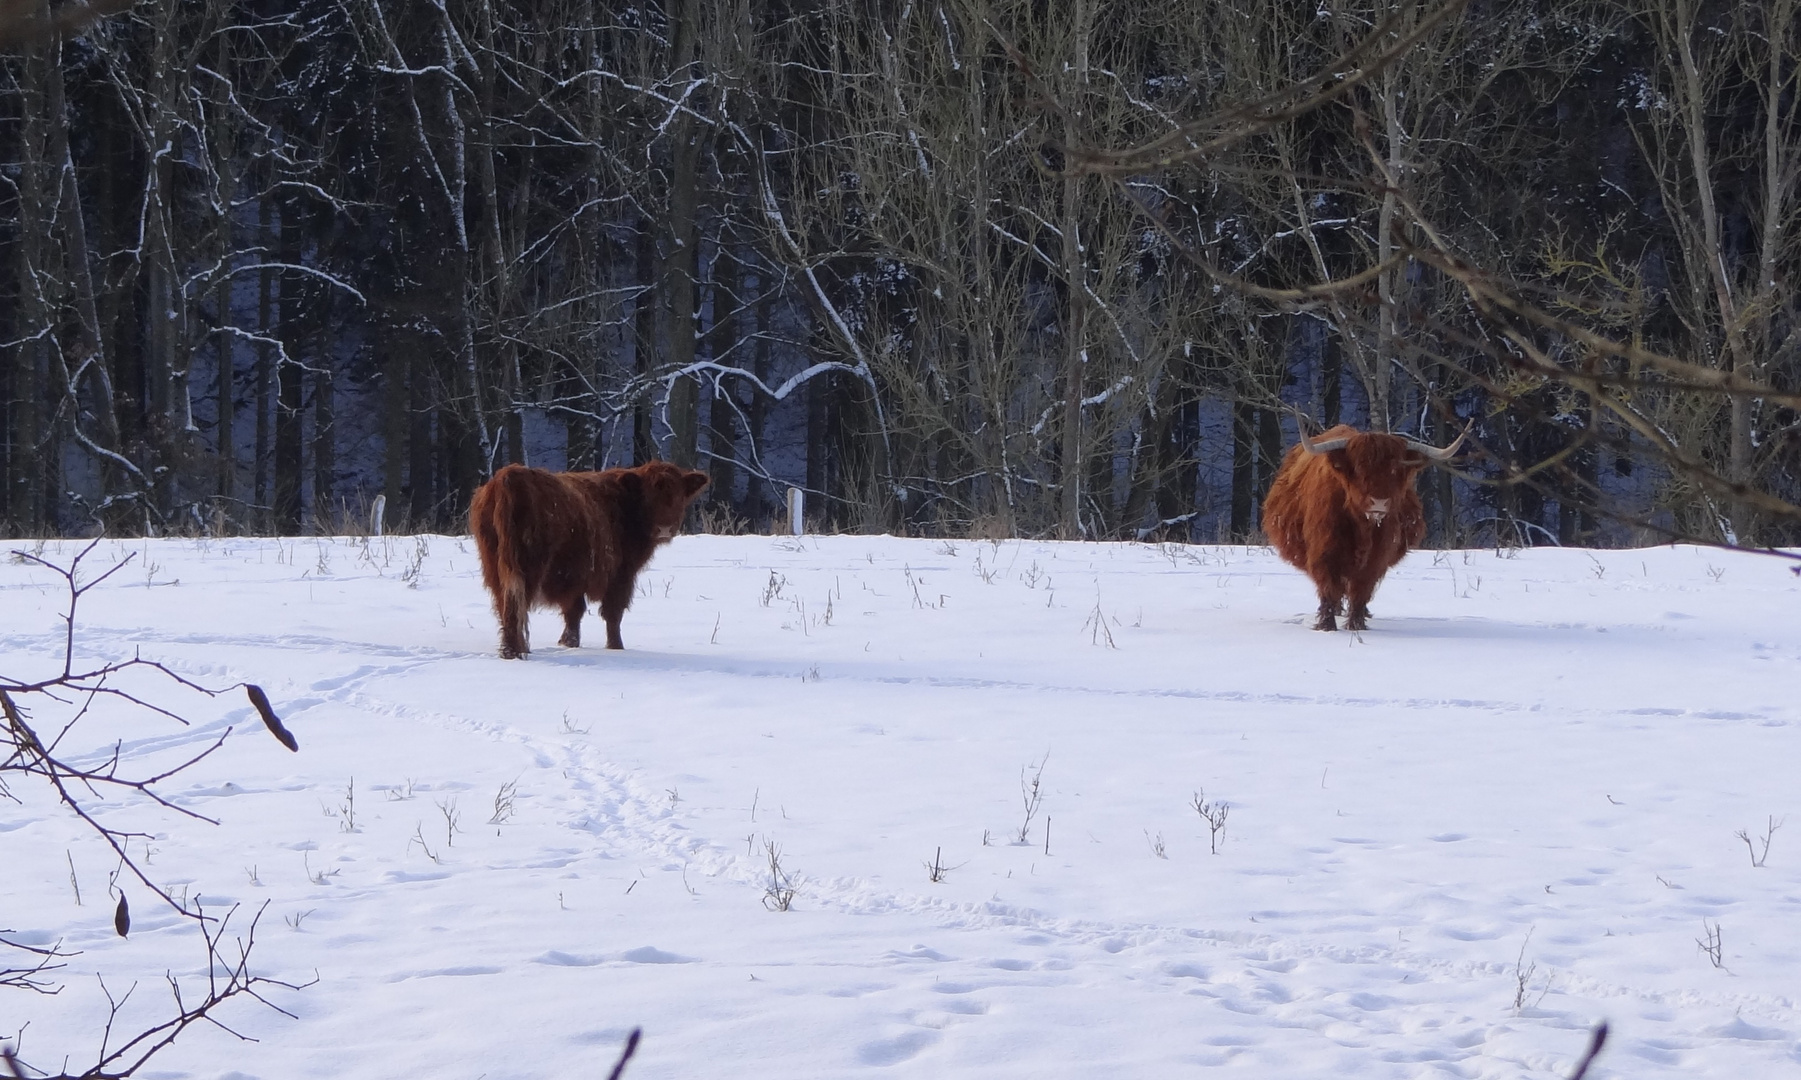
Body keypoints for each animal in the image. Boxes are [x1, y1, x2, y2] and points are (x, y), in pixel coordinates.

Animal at [468, 457, 705, 658]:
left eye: (678, 496)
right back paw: (516, 651)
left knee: (504, 605)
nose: (664, 528)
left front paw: (569, 643)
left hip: (495, 566)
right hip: (527, 564)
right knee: (516, 603)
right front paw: (616, 648)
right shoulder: (621, 574)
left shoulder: (575, 579)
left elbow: (574, 612)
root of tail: (509, 475)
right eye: (648, 497)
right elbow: (612, 613)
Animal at [1260, 417, 1469, 630]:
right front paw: (1327, 626)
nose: (1379, 502)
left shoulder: (1376, 559)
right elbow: (1328, 589)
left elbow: (1361, 591)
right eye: (1359, 468)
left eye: (1395, 469)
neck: (1362, 527)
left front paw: (1356, 625)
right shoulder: (1324, 553)